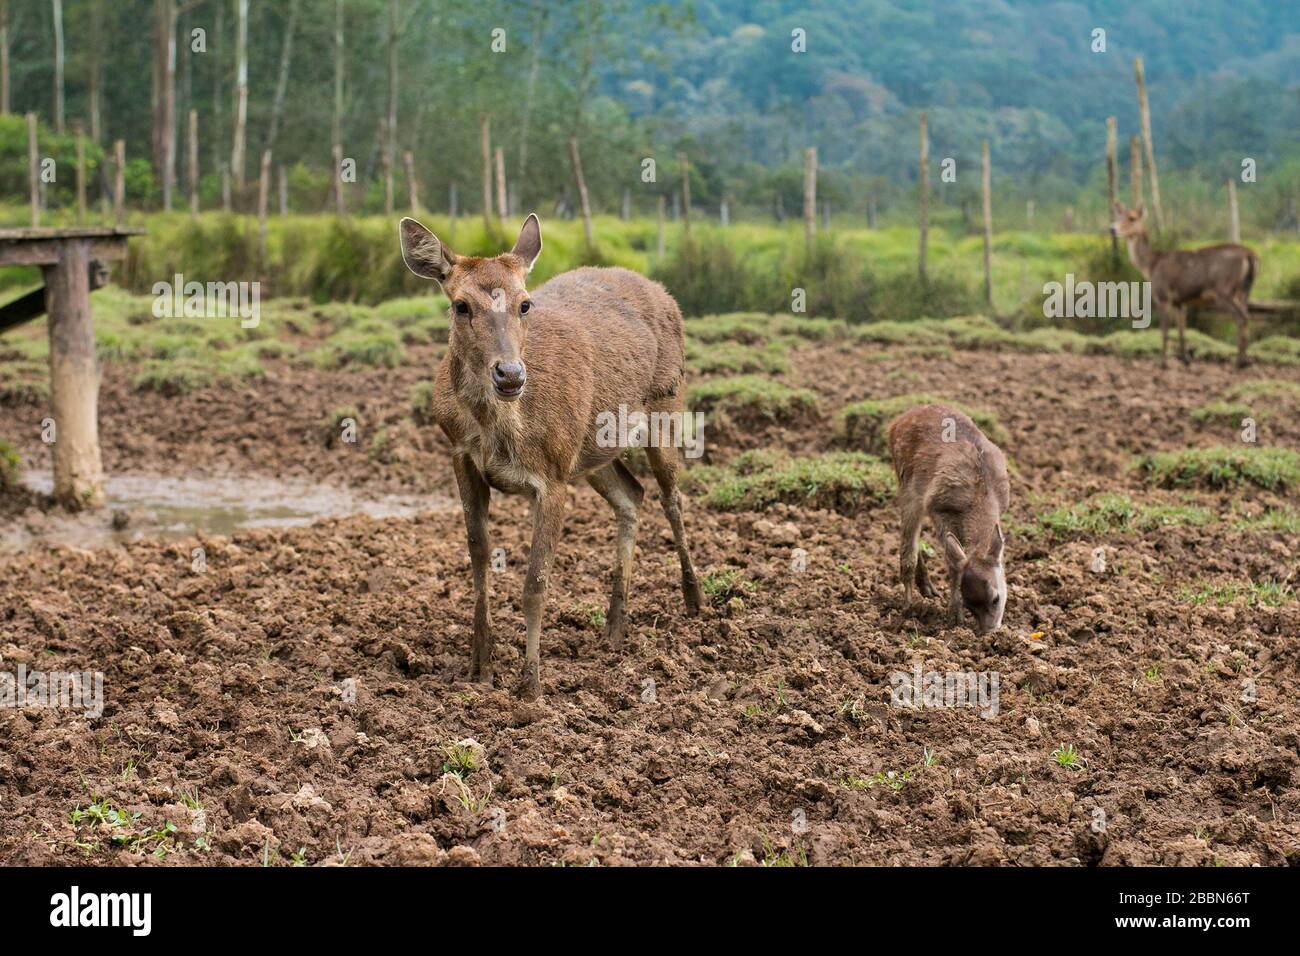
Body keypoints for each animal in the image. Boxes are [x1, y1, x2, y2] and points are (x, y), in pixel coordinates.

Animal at [398, 214, 704, 700]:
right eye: (461, 305)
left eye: (525, 304)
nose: (509, 374)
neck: (500, 428)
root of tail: (662, 291)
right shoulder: (461, 456)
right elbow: (479, 560)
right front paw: (480, 667)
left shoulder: (553, 476)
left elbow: (535, 583)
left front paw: (531, 685)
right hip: (592, 452)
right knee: (631, 494)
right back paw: (615, 626)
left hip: (667, 405)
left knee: (671, 495)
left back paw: (695, 601)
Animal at [887, 404, 1010, 635]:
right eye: (970, 604)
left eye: (996, 598)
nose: (988, 633)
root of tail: (896, 422)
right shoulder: (939, 508)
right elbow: (952, 563)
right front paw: (954, 617)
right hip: (906, 482)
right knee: (908, 546)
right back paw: (908, 606)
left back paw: (927, 587)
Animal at [1111, 202, 1259, 368]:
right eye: (1118, 216)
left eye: (1132, 218)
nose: (1112, 229)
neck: (1150, 266)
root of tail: (1251, 254)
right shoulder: (1180, 301)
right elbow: (1182, 330)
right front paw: (1185, 359)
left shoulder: (1162, 295)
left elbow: (1165, 331)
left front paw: (1162, 363)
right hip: (1244, 291)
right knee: (1247, 315)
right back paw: (1246, 361)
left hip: (1224, 290)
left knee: (1241, 318)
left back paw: (1238, 363)